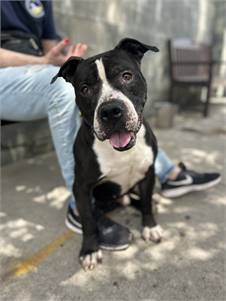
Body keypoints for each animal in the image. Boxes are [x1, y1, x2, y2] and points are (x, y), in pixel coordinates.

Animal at [52, 37, 163, 270]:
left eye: (126, 76)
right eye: (85, 89)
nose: (111, 111)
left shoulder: (148, 173)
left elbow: (146, 202)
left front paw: (149, 226)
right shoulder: (82, 188)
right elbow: (88, 221)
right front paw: (90, 250)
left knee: (141, 199)